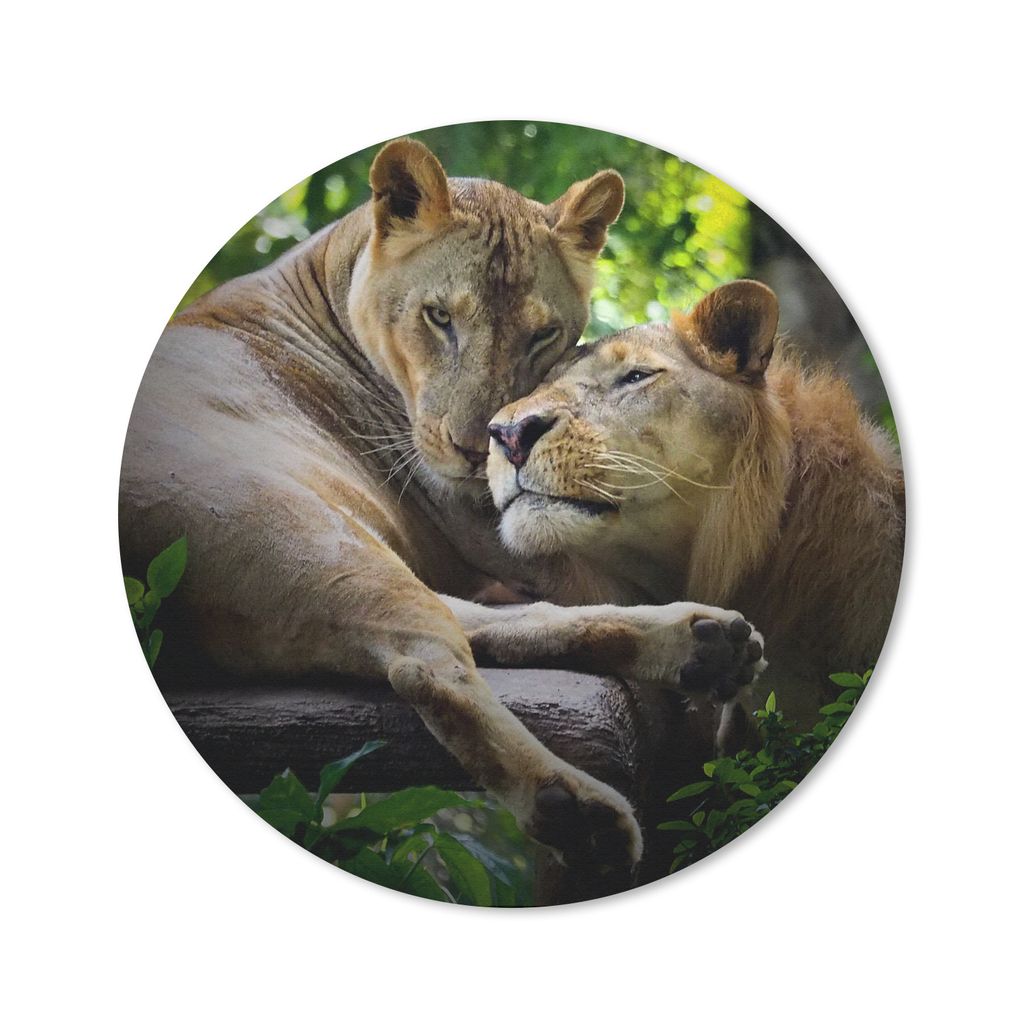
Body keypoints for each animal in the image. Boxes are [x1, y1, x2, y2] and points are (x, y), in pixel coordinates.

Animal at [120, 139, 764, 881]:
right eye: (439, 317)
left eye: (543, 334)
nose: (483, 444)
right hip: (307, 533)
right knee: (427, 661)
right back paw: (579, 813)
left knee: (490, 628)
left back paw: (704, 645)